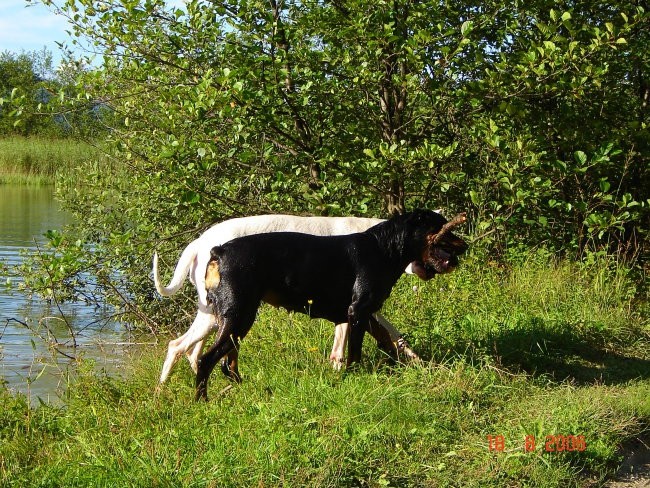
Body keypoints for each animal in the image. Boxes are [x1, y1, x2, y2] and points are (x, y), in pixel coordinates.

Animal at [197, 209, 466, 400]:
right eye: (442, 227)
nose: (466, 245)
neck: (385, 247)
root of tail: (218, 252)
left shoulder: (364, 315)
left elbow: (390, 342)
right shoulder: (358, 311)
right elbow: (355, 352)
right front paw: (353, 376)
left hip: (233, 318)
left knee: (227, 363)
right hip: (239, 315)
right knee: (206, 360)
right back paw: (203, 401)